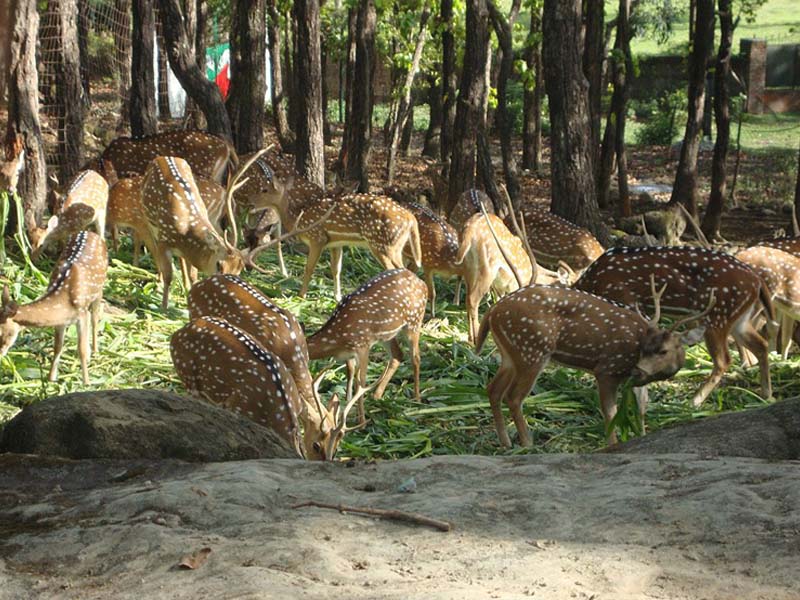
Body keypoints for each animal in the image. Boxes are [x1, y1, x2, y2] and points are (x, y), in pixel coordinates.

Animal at [0, 231, 108, 385]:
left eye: (3, 332)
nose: (1, 353)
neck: (63, 300)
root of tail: (91, 232)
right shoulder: (61, 321)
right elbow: (57, 347)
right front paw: (51, 378)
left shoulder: (81, 314)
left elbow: (80, 349)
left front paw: (86, 382)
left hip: (99, 290)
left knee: (95, 318)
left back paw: (95, 350)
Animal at [306, 268, 428, 424]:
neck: (336, 338)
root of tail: (421, 282)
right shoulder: (348, 353)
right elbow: (350, 373)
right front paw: (346, 406)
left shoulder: (362, 345)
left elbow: (361, 382)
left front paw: (361, 421)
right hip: (387, 335)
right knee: (398, 355)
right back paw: (377, 395)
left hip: (414, 321)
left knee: (415, 357)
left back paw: (417, 399)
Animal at [573, 245, 775, 407]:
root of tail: (757, 281)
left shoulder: (625, 298)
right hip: (739, 319)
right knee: (761, 345)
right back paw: (766, 394)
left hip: (717, 316)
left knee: (724, 360)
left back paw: (694, 401)